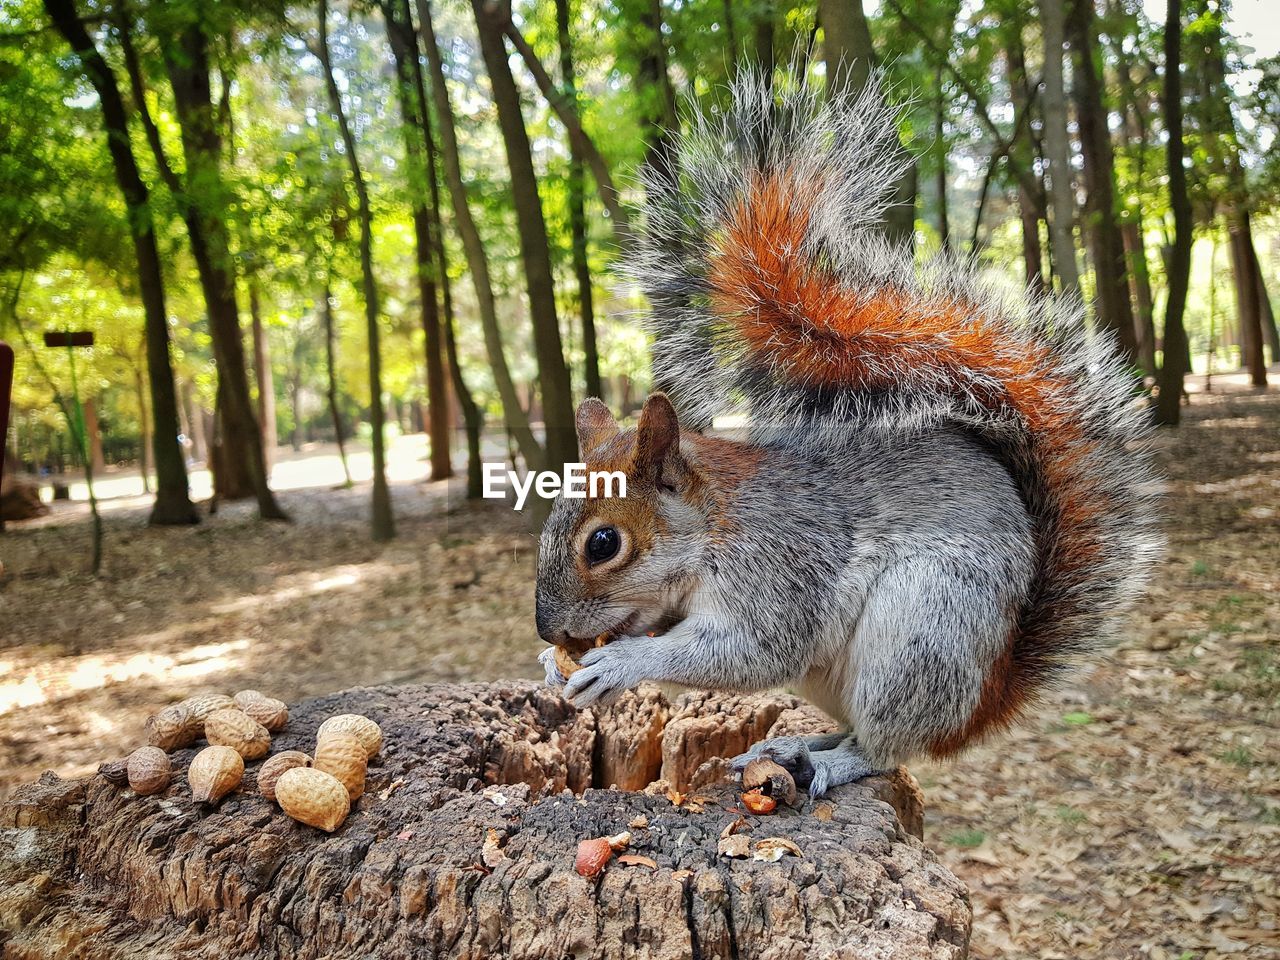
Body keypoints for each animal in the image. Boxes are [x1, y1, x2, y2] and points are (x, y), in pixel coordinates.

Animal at [529, 71, 1162, 798]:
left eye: (604, 544)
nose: (547, 626)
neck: (713, 523)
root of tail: (983, 701)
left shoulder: (779, 568)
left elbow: (750, 650)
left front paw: (623, 663)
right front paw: (553, 665)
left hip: (920, 631)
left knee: (887, 745)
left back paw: (834, 760)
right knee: (856, 727)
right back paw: (796, 742)